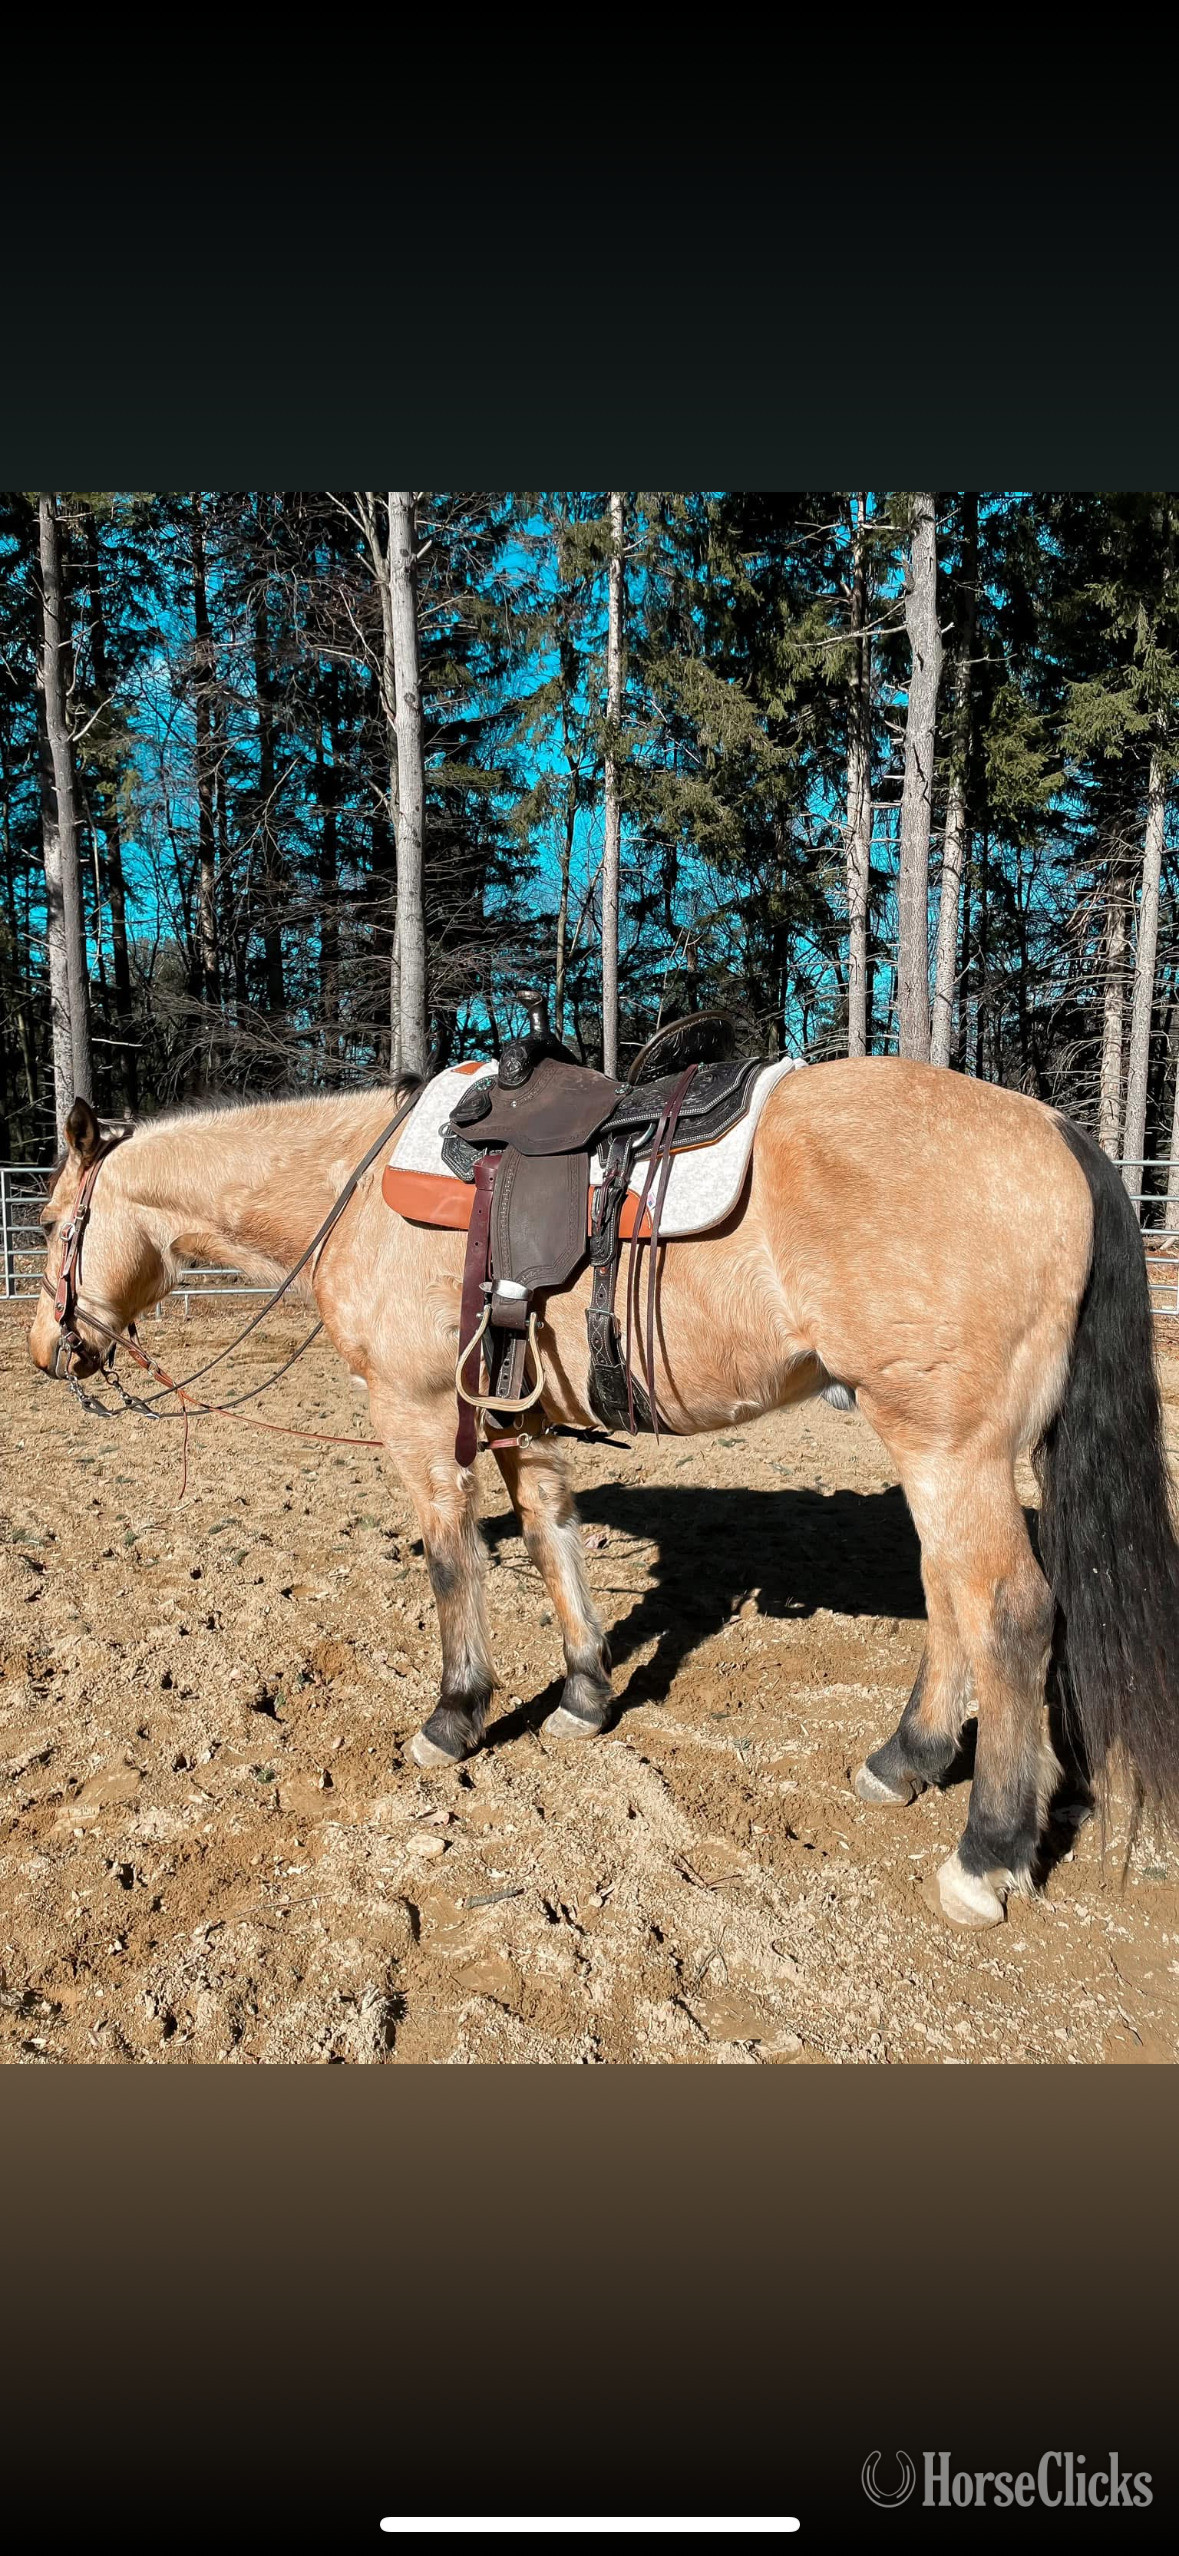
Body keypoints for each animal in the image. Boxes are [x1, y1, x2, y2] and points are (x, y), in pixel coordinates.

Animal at [28, 1058, 1179, 1930]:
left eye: (46, 1225)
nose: (47, 1351)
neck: (354, 1199)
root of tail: (1056, 1133)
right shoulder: (518, 1416)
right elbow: (551, 1541)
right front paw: (584, 1695)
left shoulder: (414, 1414)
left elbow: (453, 1562)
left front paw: (454, 1716)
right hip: (934, 1451)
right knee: (950, 1603)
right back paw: (904, 1758)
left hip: (953, 1446)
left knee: (1008, 1614)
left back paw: (985, 1852)